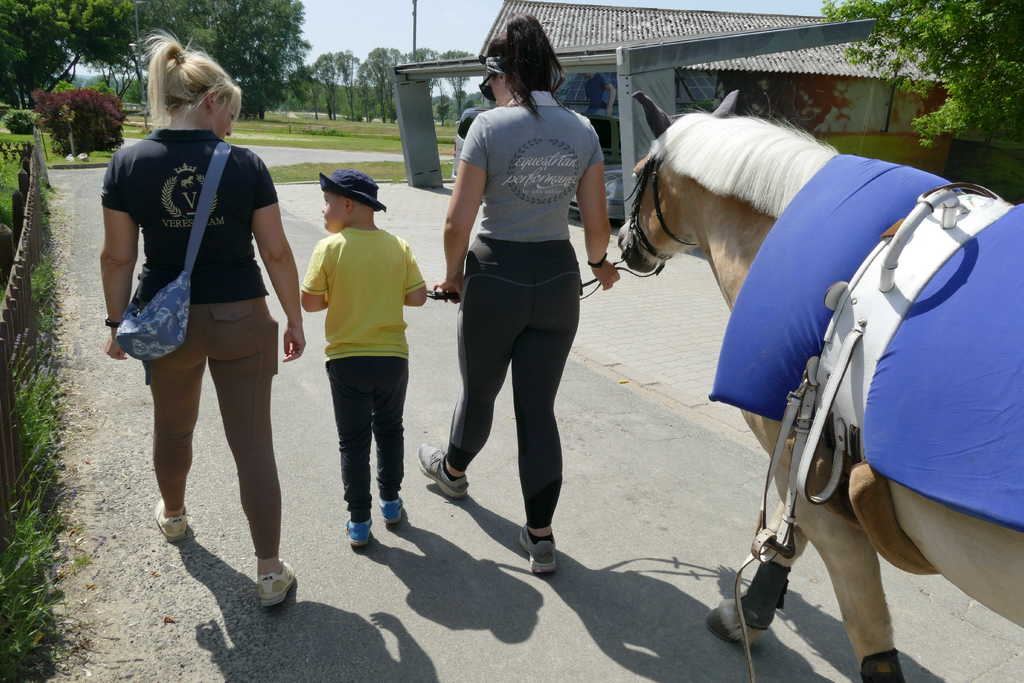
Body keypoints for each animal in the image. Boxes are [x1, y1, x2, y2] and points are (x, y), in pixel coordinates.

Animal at [618, 92, 1024, 682]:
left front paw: (749, 616)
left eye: (636, 174)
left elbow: (837, 590)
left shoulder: (798, 455)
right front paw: (753, 611)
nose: (625, 243)